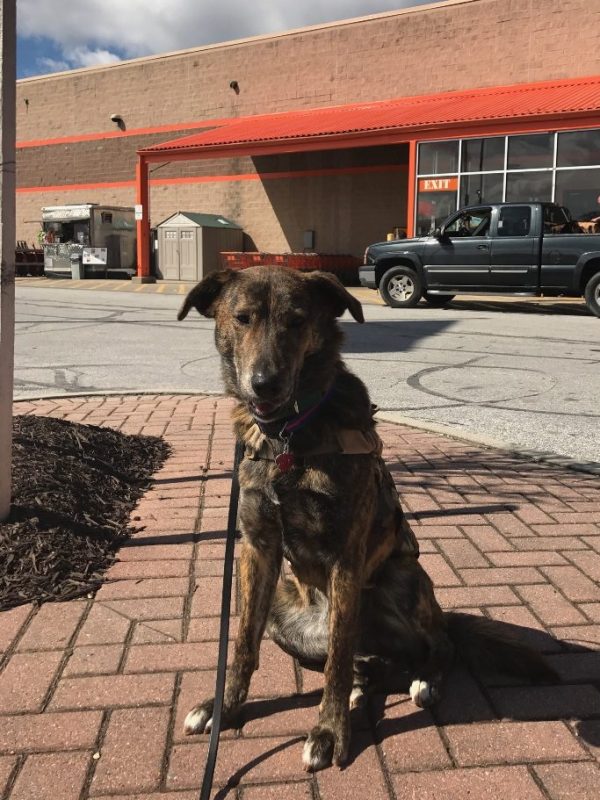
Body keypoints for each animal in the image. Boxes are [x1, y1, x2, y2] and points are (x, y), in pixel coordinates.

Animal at [179, 266, 556, 772]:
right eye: (242, 318)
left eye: (297, 321)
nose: (265, 384)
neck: (289, 438)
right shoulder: (257, 548)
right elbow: (242, 643)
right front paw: (225, 707)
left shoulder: (346, 558)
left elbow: (337, 659)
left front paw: (329, 730)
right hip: (283, 616)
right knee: (368, 664)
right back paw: (364, 690)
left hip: (401, 581)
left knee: (435, 645)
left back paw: (423, 680)